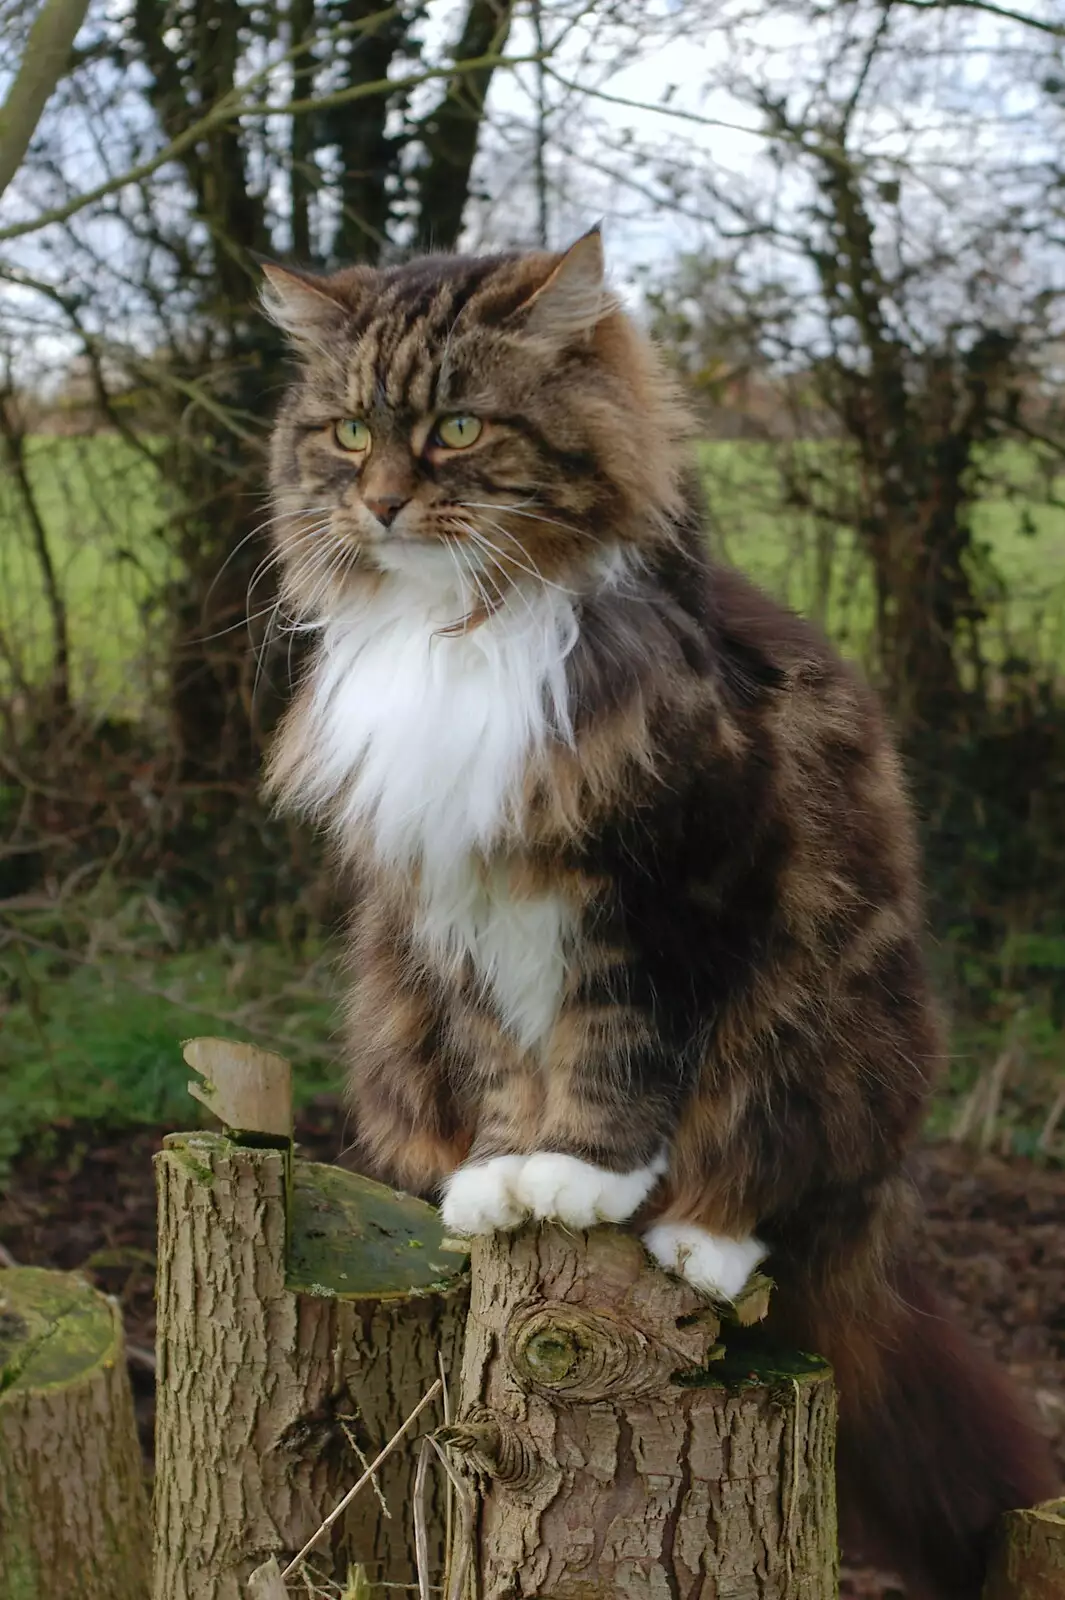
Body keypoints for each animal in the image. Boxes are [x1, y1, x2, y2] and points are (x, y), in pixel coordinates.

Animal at [259, 232, 1055, 1593]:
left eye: (459, 427)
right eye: (353, 431)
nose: (383, 503)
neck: (469, 628)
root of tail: (880, 1247)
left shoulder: (666, 890)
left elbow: (616, 1047)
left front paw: (579, 1175)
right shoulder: (450, 909)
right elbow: (502, 1060)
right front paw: (503, 1177)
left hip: (836, 1041)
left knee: (779, 1191)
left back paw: (700, 1236)